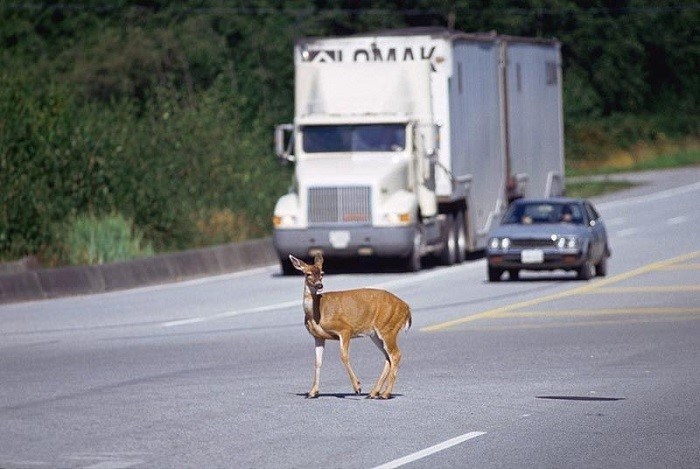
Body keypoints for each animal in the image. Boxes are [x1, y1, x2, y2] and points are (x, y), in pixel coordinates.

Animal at [288, 252, 412, 398]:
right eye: (308, 274)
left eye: (322, 273)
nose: (319, 286)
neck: (317, 314)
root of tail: (407, 309)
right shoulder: (318, 336)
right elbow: (317, 362)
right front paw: (312, 392)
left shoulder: (345, 328)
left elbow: (344, 356)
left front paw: (357, 387)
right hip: (376, 334)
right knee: (388, 357)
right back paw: (374, 393)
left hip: (388, 327)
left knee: (396, 354)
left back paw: (385, 394)